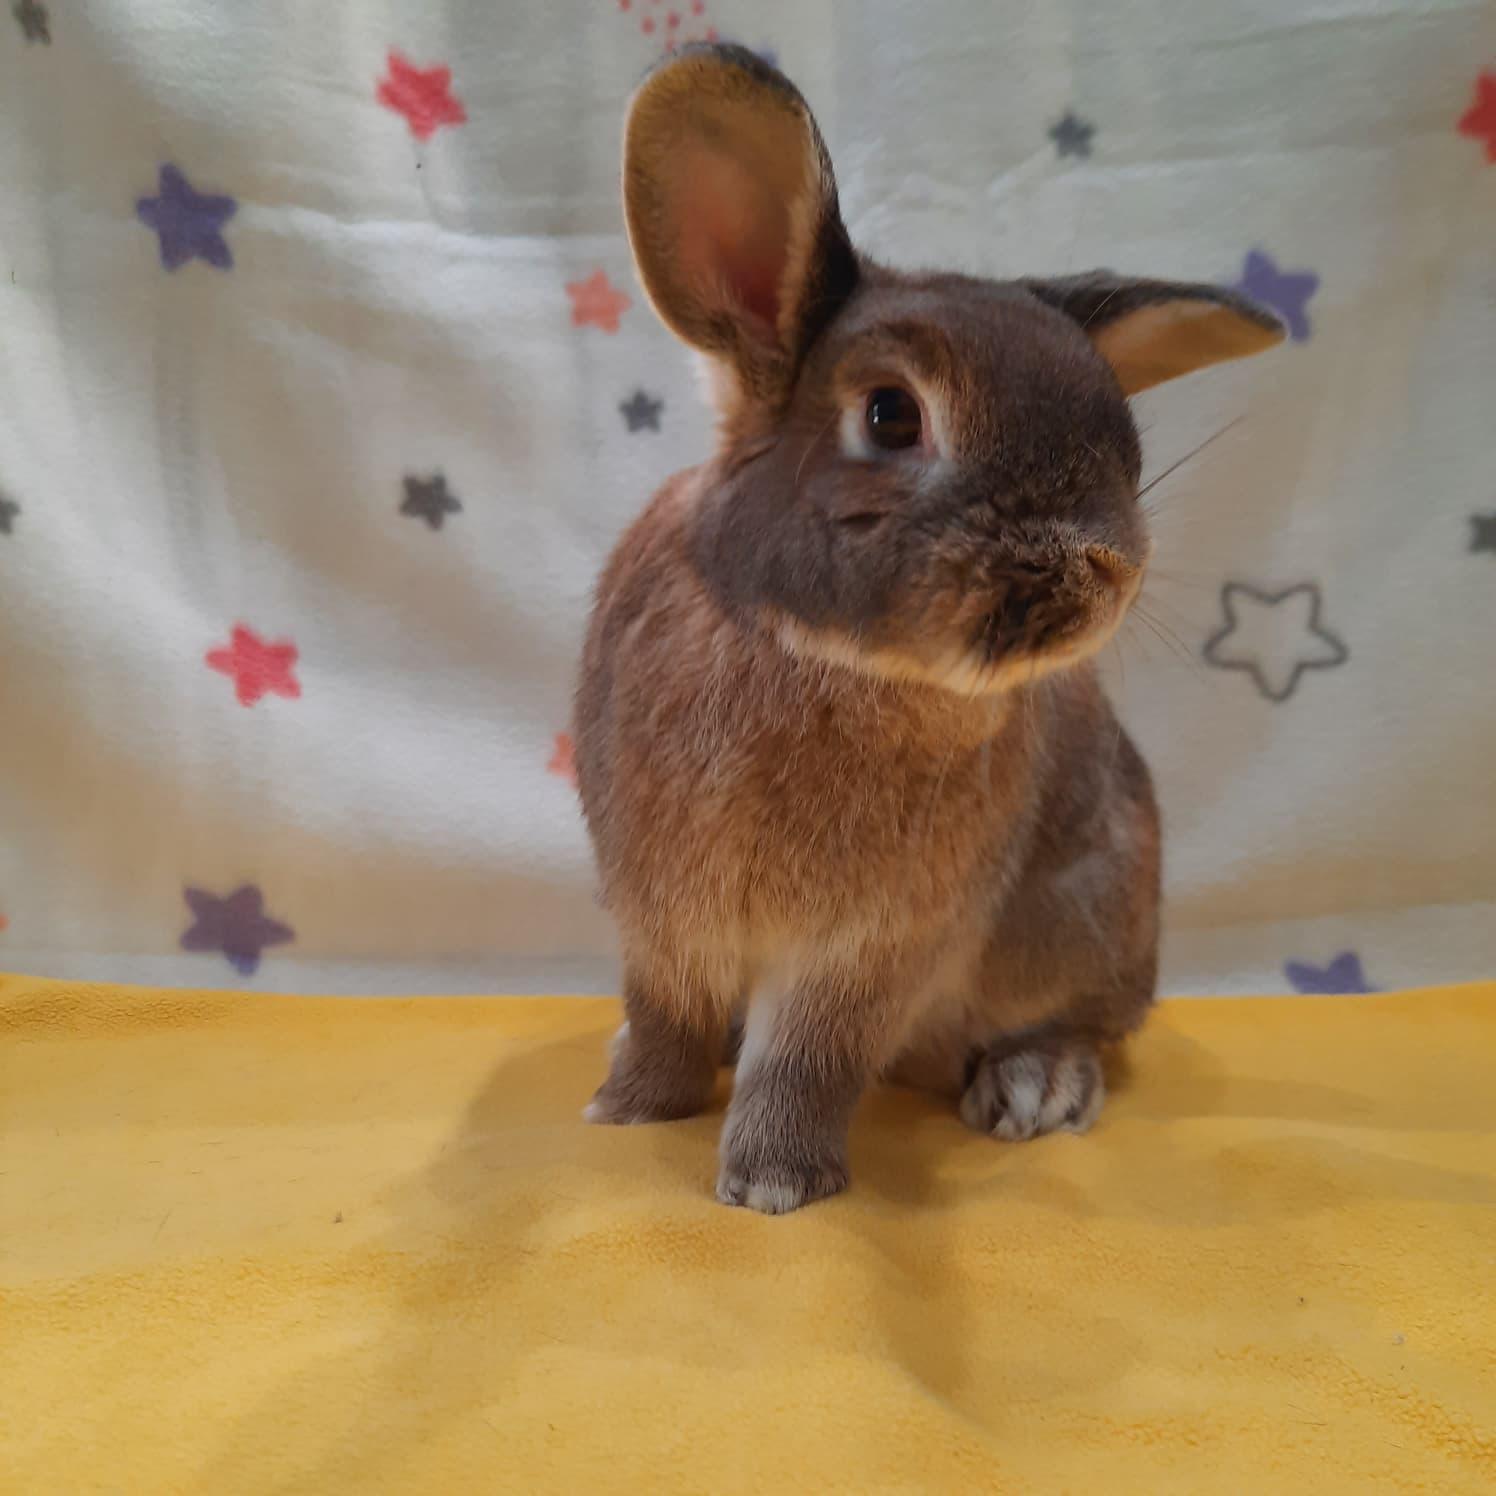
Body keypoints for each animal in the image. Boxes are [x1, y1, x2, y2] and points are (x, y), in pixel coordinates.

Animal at [574, 43, 1283, 1213]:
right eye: (890, 416)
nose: (1106, 566)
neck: (814, 655)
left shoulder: (874, 946)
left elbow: (807, 1059)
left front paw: (772, 1183)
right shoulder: (657, 920)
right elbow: (664, 1018)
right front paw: (629, 1108)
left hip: (1089, 919)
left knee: (1073, 1023)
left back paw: (1038, 1087)